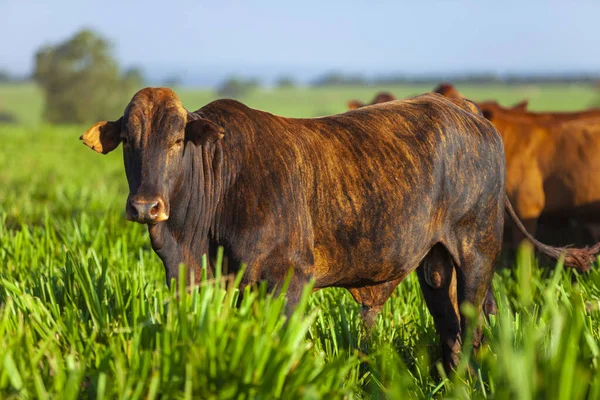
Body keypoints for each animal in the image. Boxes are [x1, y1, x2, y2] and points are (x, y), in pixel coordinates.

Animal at [81, 88, 600, 376]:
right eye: (127, 140)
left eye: (176, 141)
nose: (145, 206)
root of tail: (464, 108)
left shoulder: (286, 281)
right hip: (436, 265)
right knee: (451, 327)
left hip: (477, 252)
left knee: (471, 324)